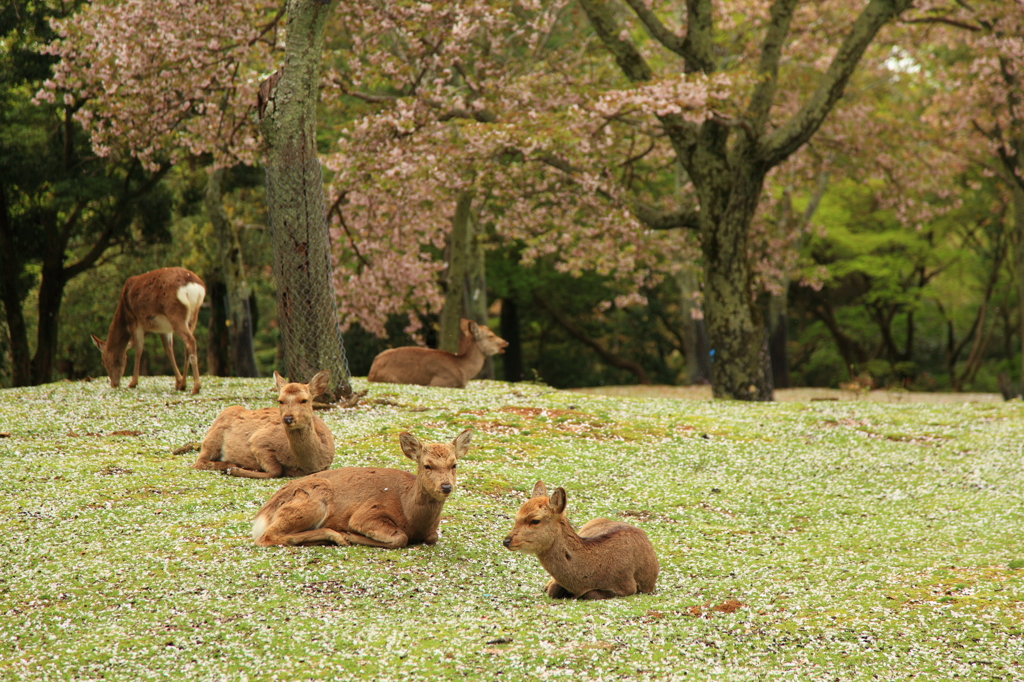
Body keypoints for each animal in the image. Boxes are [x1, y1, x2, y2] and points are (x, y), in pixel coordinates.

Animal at [192, 366, 335, 477]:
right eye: (280, 400)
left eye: (304, 400)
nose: (288, 418)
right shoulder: (259, 439)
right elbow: (275, 471)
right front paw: (235, 470)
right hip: (213, 438)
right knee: (199, 462)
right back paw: (230, 465)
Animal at [251, 430, 471, 548]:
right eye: (427, 465)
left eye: (454, 464)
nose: (446, 486)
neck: (412, 517)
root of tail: (264, 512)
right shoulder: (367, 513)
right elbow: (400, 537)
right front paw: (350, 535)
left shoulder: (431, 532)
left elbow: (433, 537)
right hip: (313, 498)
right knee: (267, 536)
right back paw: (336, 536)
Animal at [501, 481, 659, 598]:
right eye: (516, 516)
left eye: (535, 520)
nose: (506, 541)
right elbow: (553, 590)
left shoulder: (628, 585)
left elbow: (589, 594)